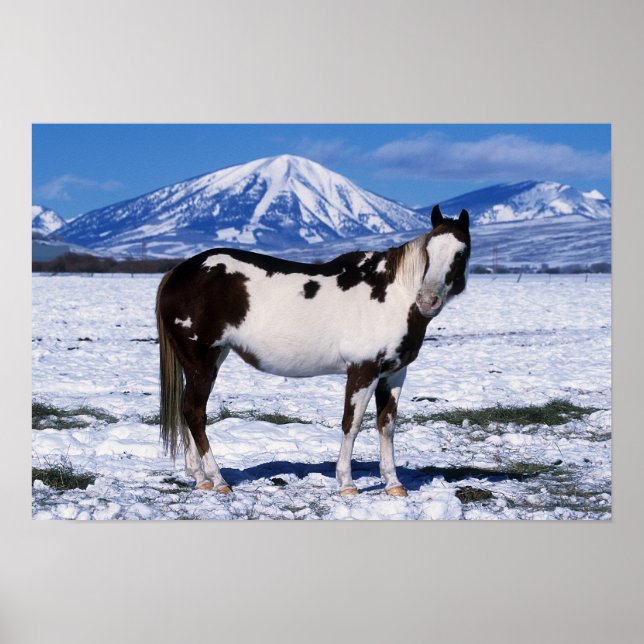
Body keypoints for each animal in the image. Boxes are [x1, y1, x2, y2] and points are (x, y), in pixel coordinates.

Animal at [155, 204, 471, 496]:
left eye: (461, 253)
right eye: (429, 250)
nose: (427, 301)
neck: (392, 295)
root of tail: (178, 272)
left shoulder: (393, 374)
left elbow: (386, 425)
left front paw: (394, 484)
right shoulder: (363, 370)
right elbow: (352, 424)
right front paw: (346, 483)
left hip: (207, 361)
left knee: (187, 412)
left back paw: (201, 479)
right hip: (201, 361)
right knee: (195, 413)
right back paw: (219, 480)